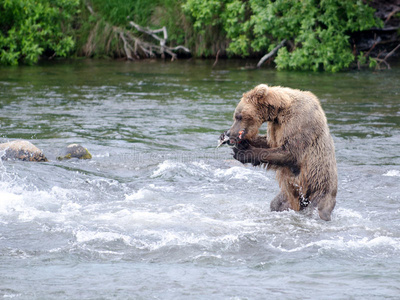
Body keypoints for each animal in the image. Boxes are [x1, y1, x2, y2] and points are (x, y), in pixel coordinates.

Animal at [222, 84, 338, 220]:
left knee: (317, 208)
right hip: (288, 194)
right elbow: (270, 143)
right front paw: (243, 143)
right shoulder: (276, 127)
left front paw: (242, 152)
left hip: (319, 187)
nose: (230, 133)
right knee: (276, 204)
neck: (279, 111)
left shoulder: (299, 122)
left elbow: (289, 152)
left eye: (238, 116)